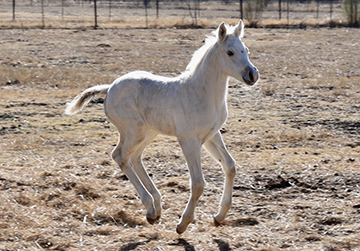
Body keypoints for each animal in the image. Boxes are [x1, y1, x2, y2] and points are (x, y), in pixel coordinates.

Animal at [65, 20, 258, 235]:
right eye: (230, 52)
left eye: (246, 50)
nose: (253, 74)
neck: (202, 93)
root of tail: (110, 88)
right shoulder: (189, 140)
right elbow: (198, 183)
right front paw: (183, 224)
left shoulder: (211, 135)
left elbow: (230, 166)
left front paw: (219, 216)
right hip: (134, 132)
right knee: (120, 156)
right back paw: (150, 208)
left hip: (149, 132)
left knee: (135, 158)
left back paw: (156, 209)